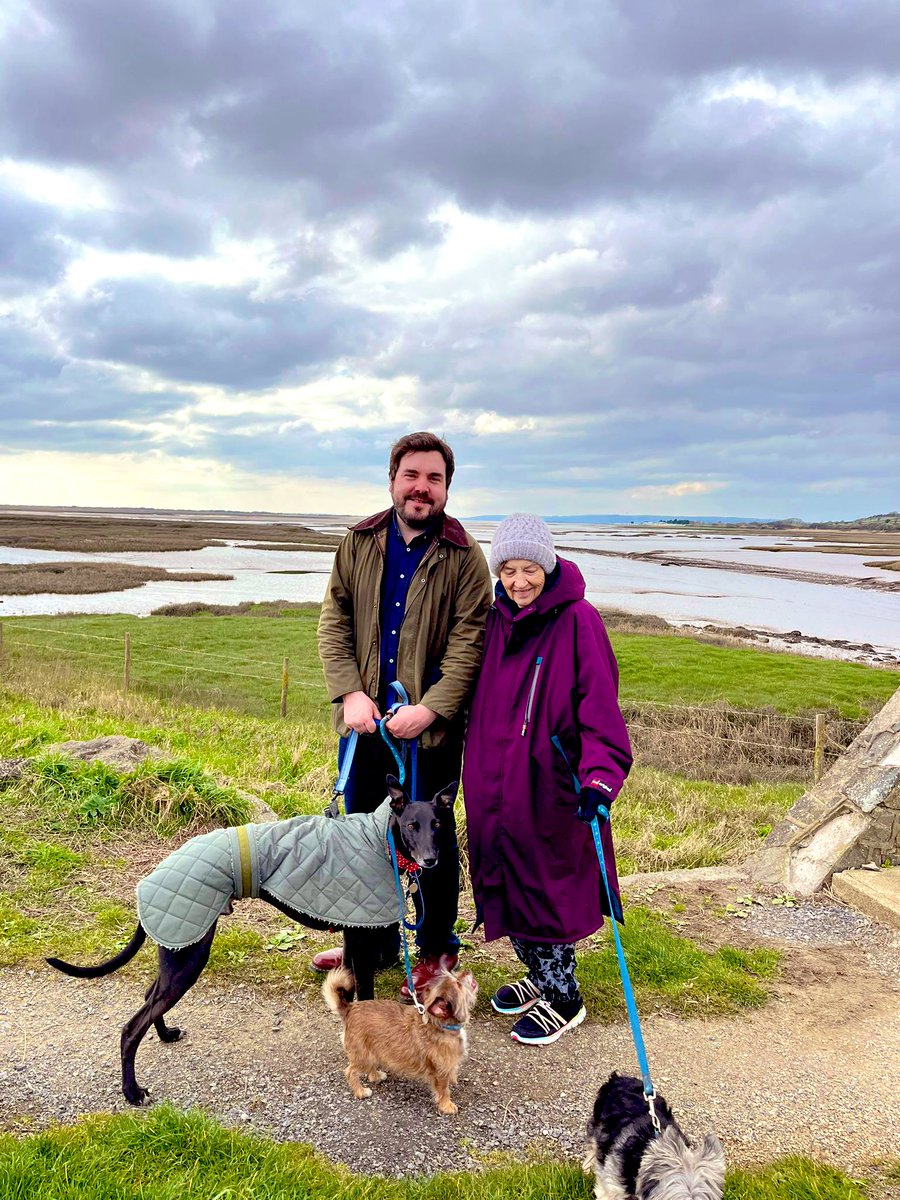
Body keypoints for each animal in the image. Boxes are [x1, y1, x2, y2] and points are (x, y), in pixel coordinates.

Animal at [45, 777, 453, 1104]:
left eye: (437, 824)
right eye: (412, 824)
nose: (431, 860)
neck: (378, 838)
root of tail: (151, 880)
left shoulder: (353, 936)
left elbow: (351, 995)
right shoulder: (362, 937)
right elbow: (364, 998)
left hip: (179, 952)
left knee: (149, 998)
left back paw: (165, 1034)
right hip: (189, 956)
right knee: (131, 1028)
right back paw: (132, 1092)